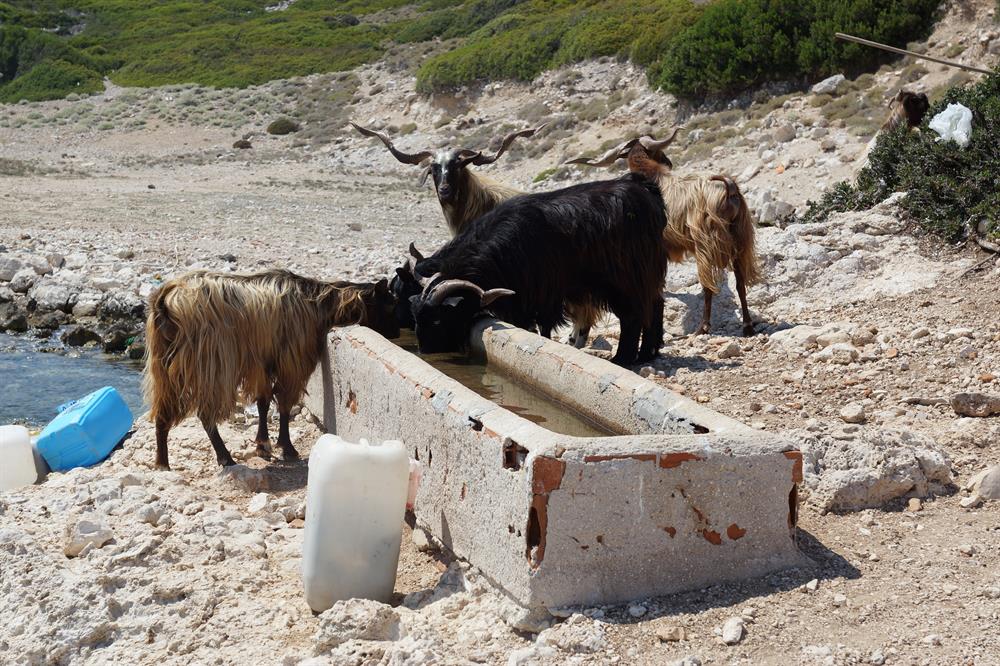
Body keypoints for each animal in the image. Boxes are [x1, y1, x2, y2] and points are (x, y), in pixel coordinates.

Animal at [143, 270, 399, 470]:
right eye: (390, 305)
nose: (396, 334)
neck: (317, 304)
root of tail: (166, 301)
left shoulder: (262, 363)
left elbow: (263, 402)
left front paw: (262, 444)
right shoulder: (292, 362)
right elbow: (283, 404)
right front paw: (287, 448)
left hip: (163, 365)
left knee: (162, 413)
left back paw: (162, 463)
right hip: (211, 365)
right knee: (206, 414)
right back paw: (225, 458)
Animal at [410, 174, 668, 366]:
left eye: (437, 320)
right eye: (416, 317)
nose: (426, 352)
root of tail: (646, 193)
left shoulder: (541, 294)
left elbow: (542, 327)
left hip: (626, 278)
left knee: (633, 315)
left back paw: (623, 359)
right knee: (655, 305)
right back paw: (647, 354)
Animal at [568, 129, 761, 337]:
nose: (669, 162)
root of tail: (728, 188)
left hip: (705, 245)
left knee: (708, 286)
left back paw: (702, 328)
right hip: (740, 241)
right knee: (740, 283)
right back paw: (747, 326)